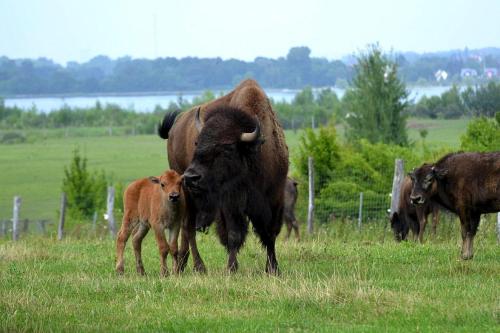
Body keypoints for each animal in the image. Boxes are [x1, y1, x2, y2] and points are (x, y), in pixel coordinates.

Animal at [156, 79, 290, 274]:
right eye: (197, 142)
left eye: (227, 148)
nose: (190, 176)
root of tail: (175, 126)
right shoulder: (230, 204)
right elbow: (233, 235)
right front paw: (231, 268)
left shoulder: (274, 198)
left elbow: (270, 234)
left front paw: (273, 268)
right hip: (186, 195)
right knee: (188, 227)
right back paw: (198, 266)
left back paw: (182, 264)